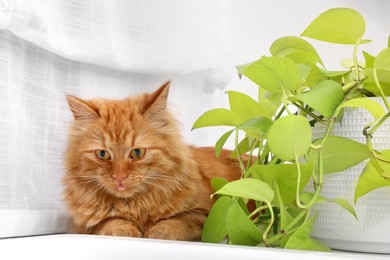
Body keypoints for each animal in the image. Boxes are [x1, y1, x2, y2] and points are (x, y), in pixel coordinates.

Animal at [62, 82, 242, 241]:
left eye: (137, 152)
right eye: (102, 154)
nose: (119, 177)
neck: (137, 205)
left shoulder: (206, 214)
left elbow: (176, 222)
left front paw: (157, 233)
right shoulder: (86, 224)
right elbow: (113, 222)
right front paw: (126, 232)